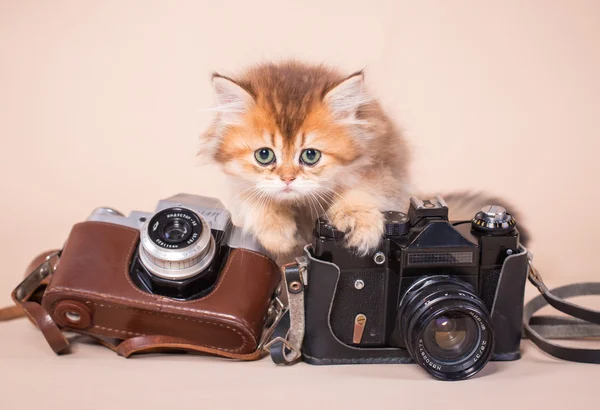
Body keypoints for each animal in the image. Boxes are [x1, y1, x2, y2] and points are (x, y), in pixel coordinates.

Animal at [199, 61, 528, 266]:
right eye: (264, 155)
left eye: (310, 156)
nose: (288, 179)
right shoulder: (239, 182)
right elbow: (253, 198)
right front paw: (276, 230)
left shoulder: (381, 167)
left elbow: (362, 192)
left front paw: (357, 221)